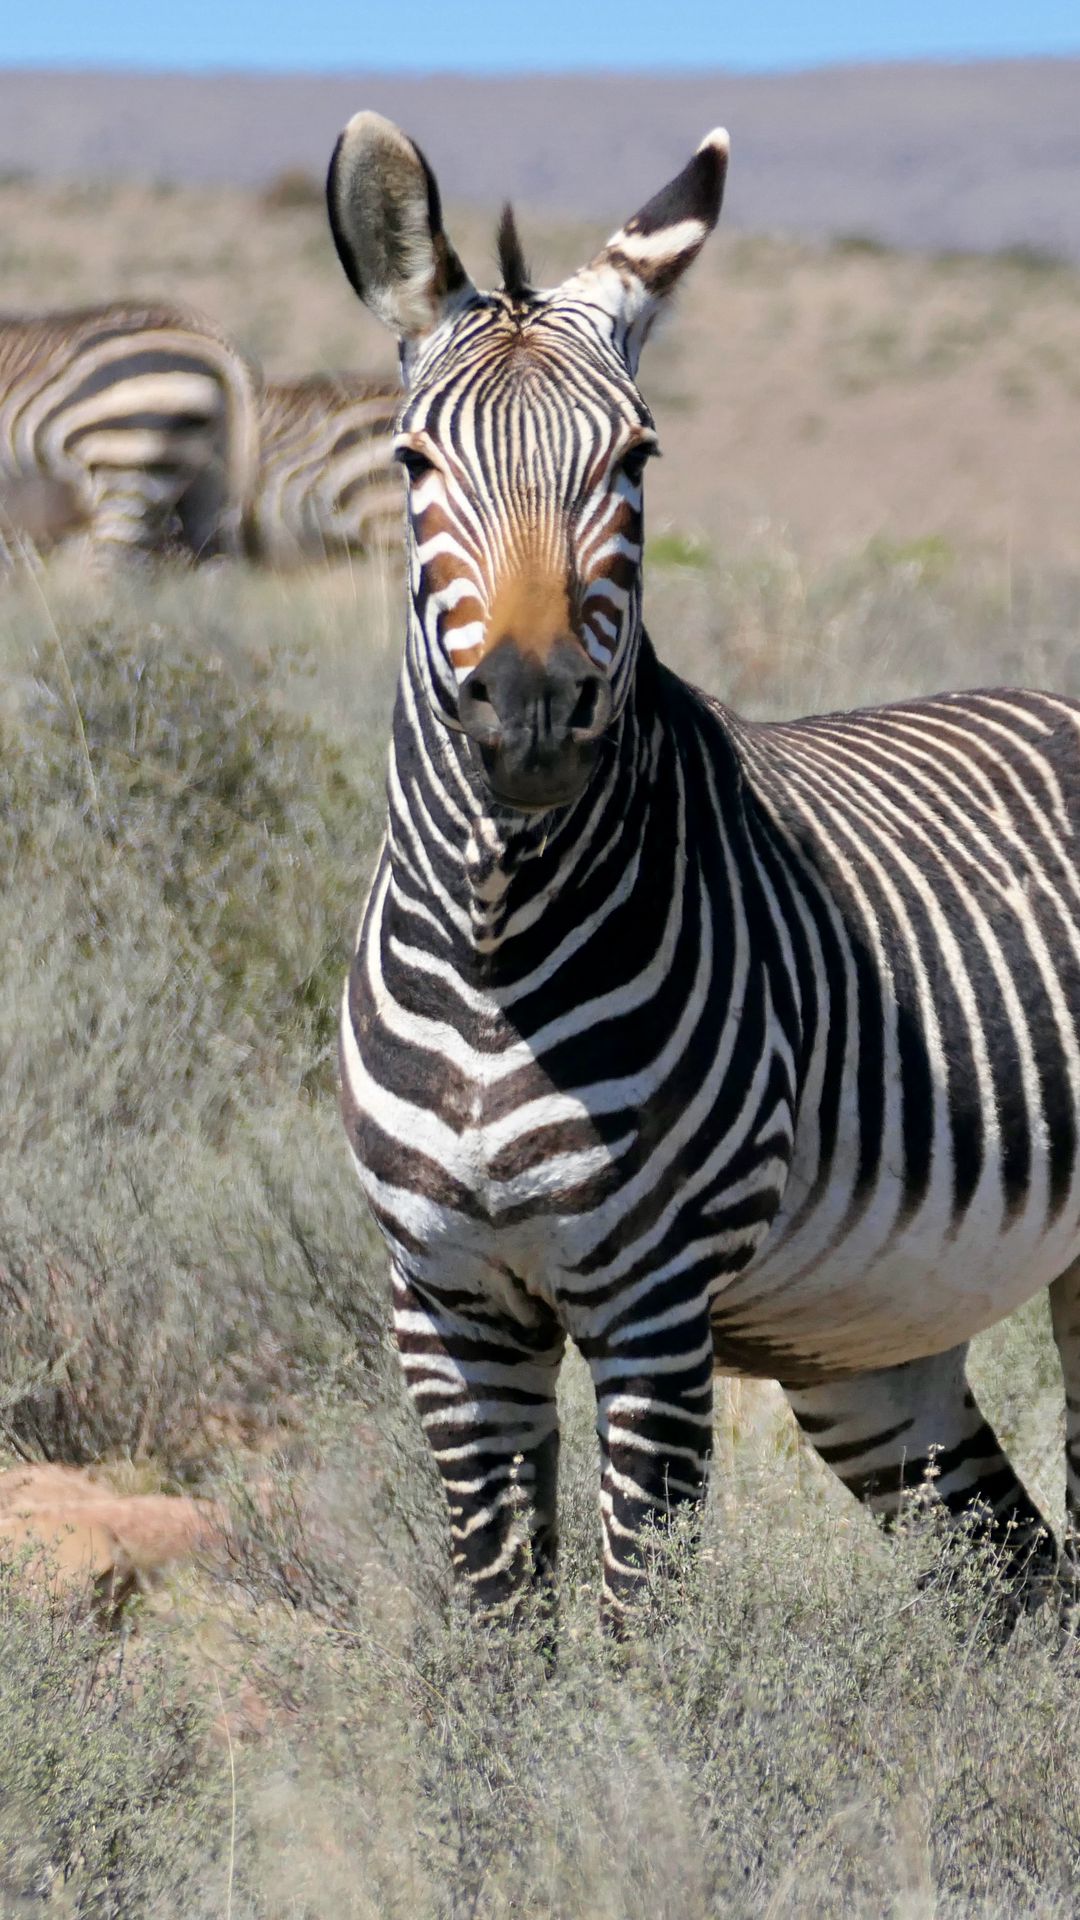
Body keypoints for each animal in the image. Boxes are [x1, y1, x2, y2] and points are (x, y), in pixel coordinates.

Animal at [328, 111, 1080, 1629]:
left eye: (637, 459)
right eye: (413, 465)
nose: (533, 710)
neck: (493, 948)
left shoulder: (655, 1312)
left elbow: (634, 1626)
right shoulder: (445, 1311)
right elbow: (501, 1623)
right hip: (877, 1346)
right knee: (1024, 1582)